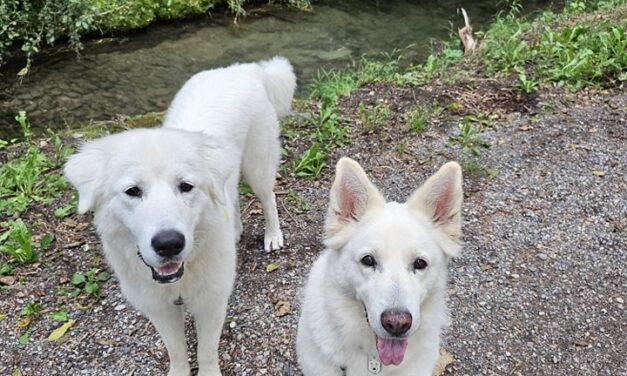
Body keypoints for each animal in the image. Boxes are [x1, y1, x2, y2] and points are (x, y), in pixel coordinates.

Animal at [63, 56, 296, 376]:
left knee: (268, 198)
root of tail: (244, 68)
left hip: (257, 164)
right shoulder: (159, 308)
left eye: (185, 186)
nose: (169, 243)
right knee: (232, 197)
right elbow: (176, 351)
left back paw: (273, 236)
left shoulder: (211, 303)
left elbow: (206, 352)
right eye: (132, 191)